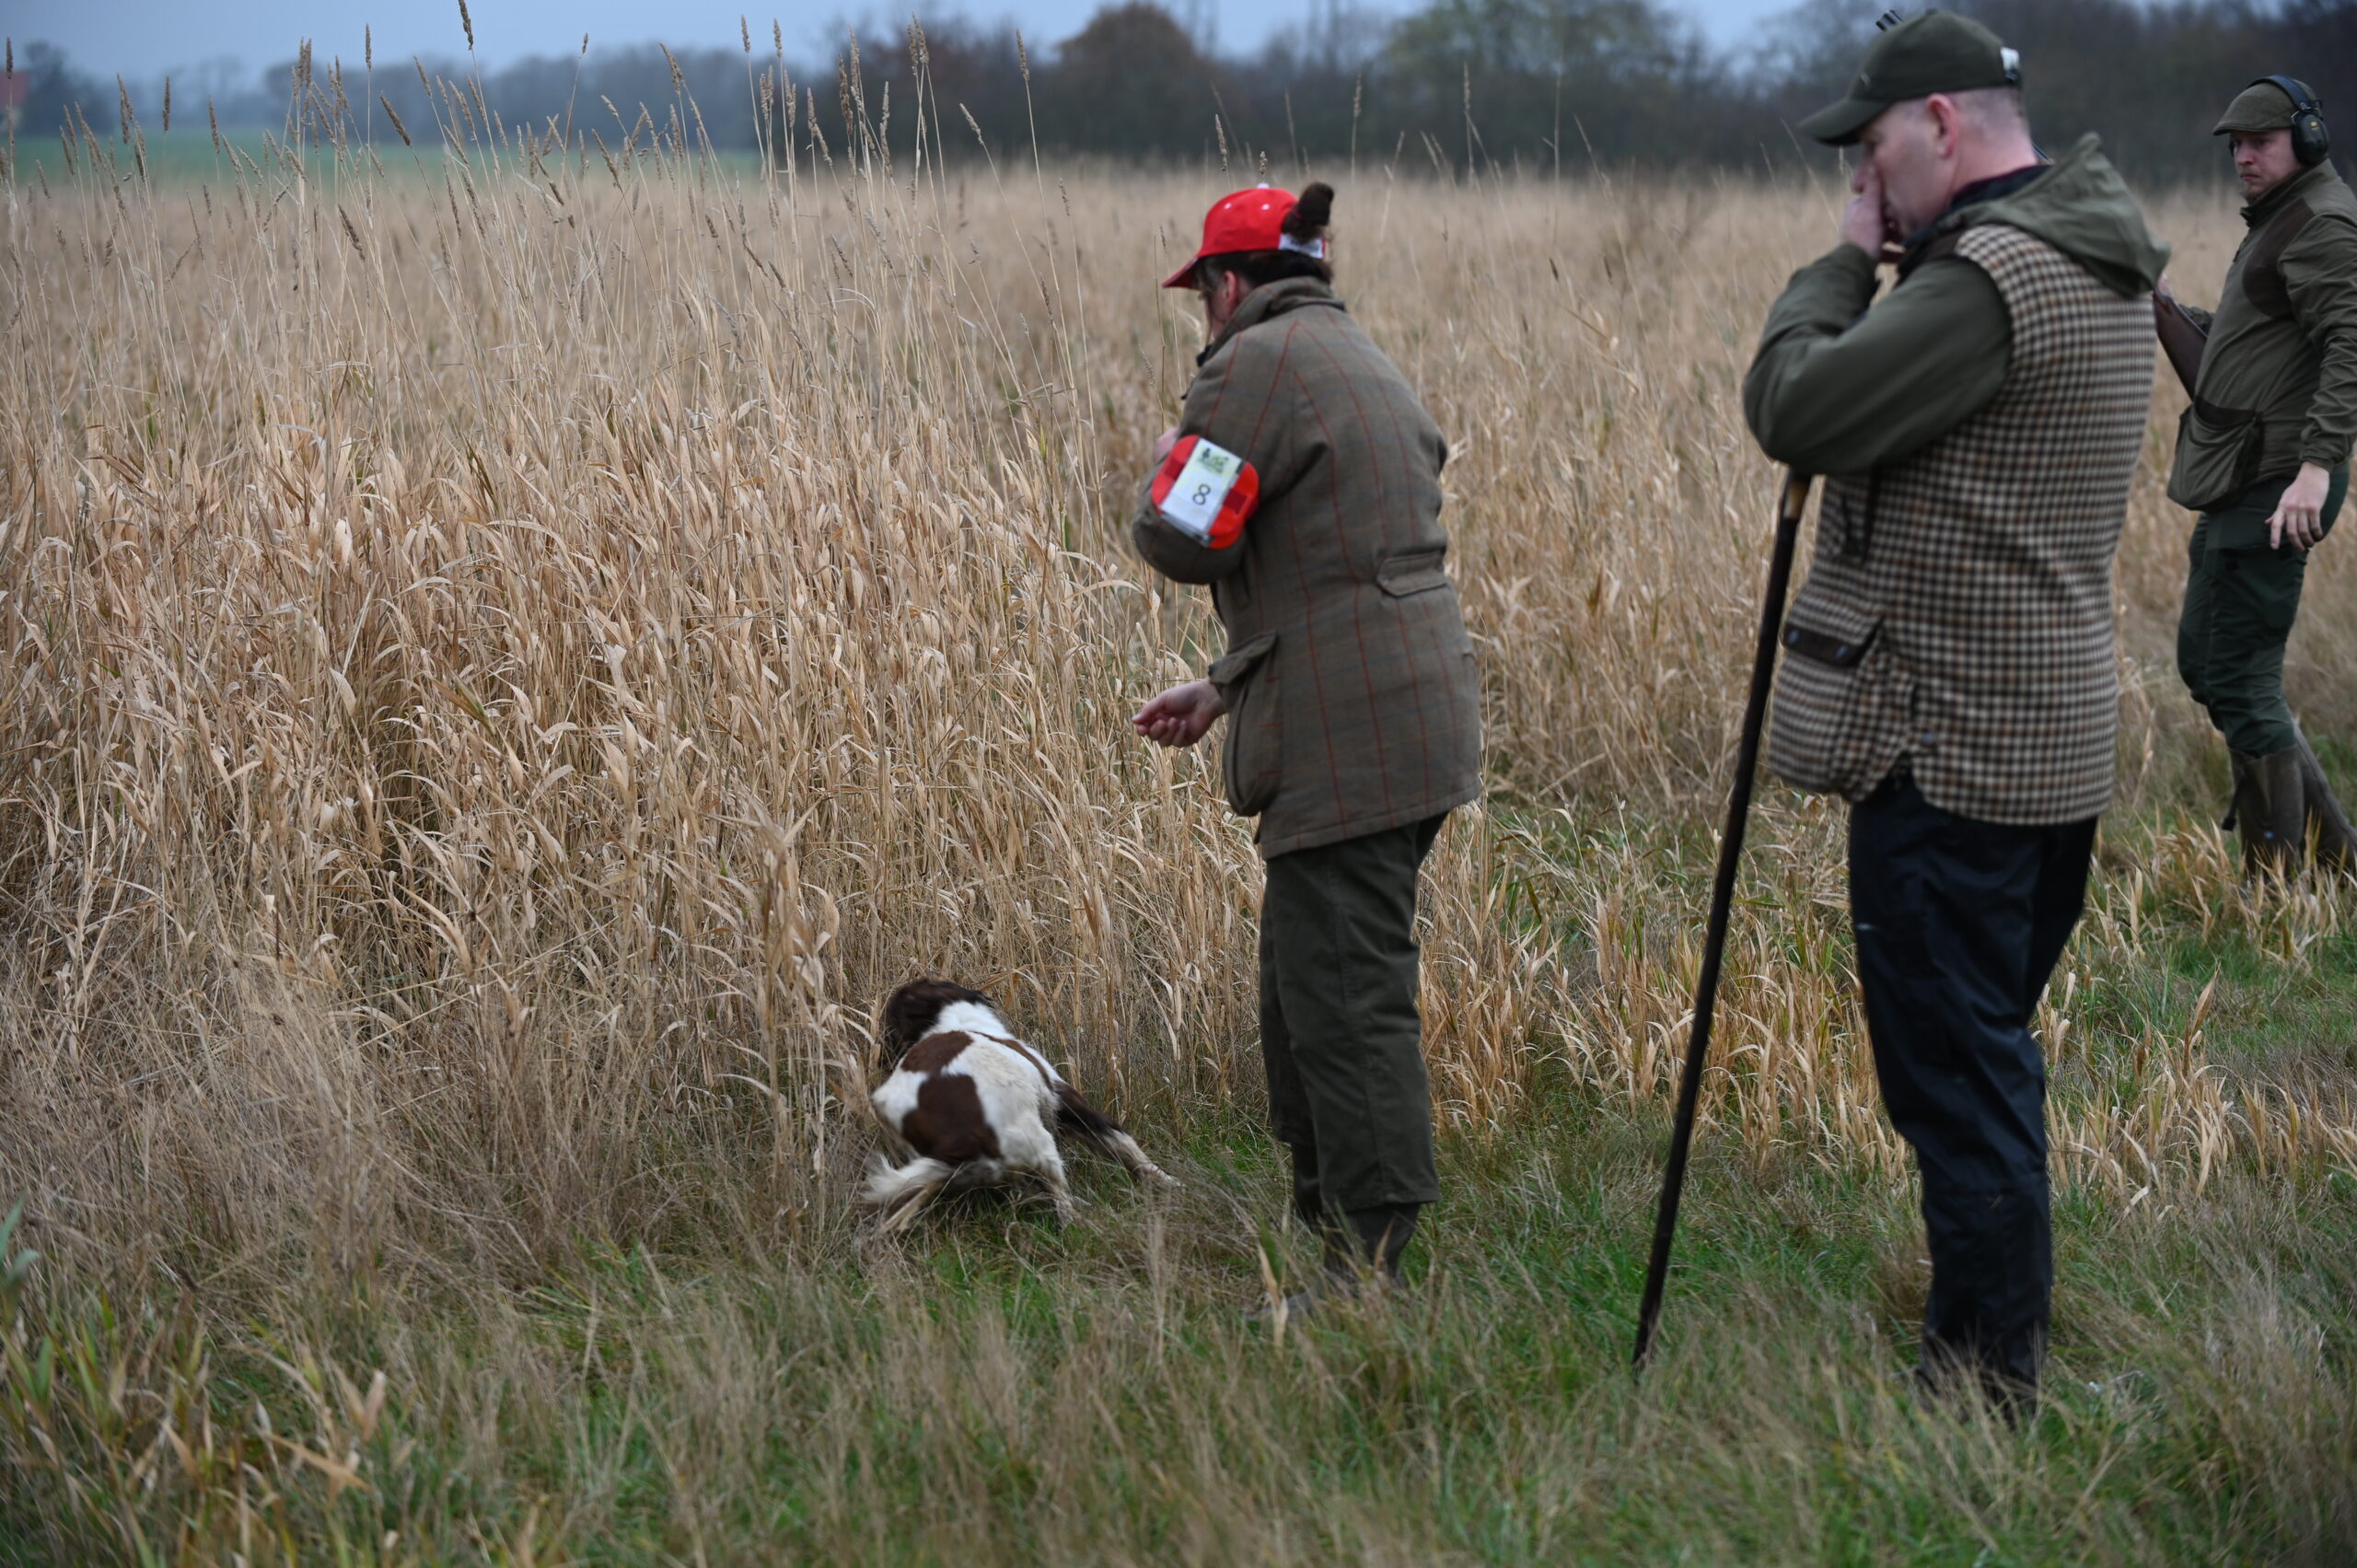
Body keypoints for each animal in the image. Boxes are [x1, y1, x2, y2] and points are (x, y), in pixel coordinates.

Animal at [862, 981, 1173, 1225]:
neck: (951, 1023)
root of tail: (962, 1138)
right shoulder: (1065, 1099)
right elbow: (1127, 1148)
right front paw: (1169, 1183)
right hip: (1039, 1145)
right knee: (1063, 1205)